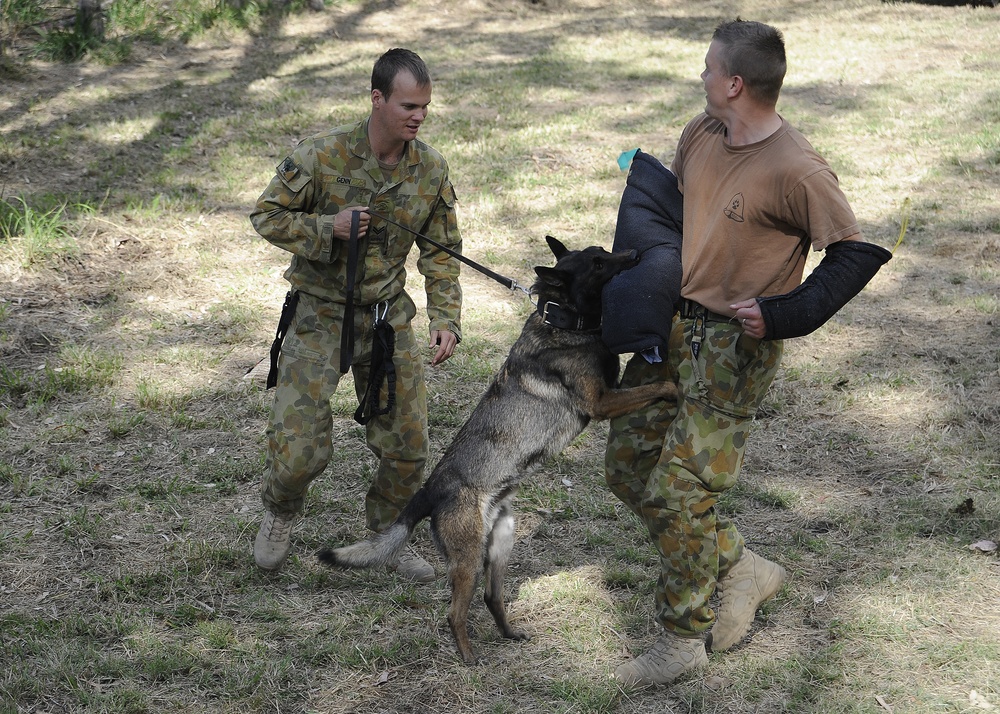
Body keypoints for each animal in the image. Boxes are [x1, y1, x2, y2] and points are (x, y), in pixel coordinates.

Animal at [318, 235, 680, 660]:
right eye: (598, 265)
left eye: (602, 252)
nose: (635, 254)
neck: (560, 321)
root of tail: (429, 491)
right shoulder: (602, 402)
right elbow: (656, 386)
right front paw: (676, 387)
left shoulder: (611, 390)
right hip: (469, 558)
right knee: (455, 612)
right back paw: (468, 656)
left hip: (502, 542)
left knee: (492, 597)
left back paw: (509, 634)